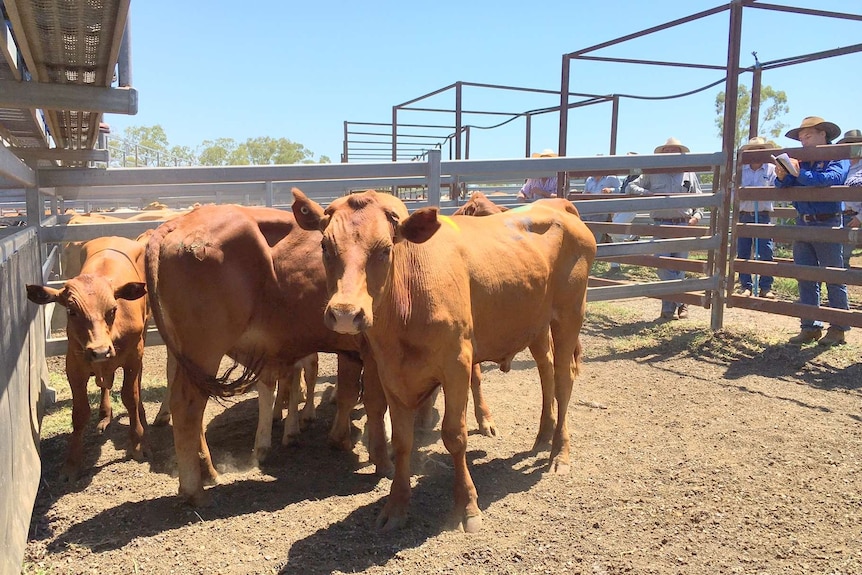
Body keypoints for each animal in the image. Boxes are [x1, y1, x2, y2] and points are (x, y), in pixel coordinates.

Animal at [24, 235, 150, 482]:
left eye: (113, 309)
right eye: (71, 312)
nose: (100, 351)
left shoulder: (134, 355)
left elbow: (130, 396)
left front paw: (138, 444)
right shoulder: (74, 365)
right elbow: (80, 413)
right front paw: (72, 464)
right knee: (105, 385)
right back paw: (104, 415)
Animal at [148, 206, 392, 504]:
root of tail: (179, 222)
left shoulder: (352, 352)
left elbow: (349, 394)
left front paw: (341, 440)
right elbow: (377, 404)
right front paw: (382, 458)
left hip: (187, 357)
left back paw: (207, 471)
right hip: (205, 350)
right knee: (187, 407)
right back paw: (194, 488)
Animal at [294, 190, 596, 536]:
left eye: (385, 249)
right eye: (325, 247)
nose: (345, 313)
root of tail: (557, 204)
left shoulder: (457, 365)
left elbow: (454, 436)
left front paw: (467, 507)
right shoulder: (389, 372)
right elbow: (402, 440)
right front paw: (396, 506)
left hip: (570, 315)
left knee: (563, 379)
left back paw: (560, 452)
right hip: (536, 324)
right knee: (546, 372)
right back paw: (543, 435)